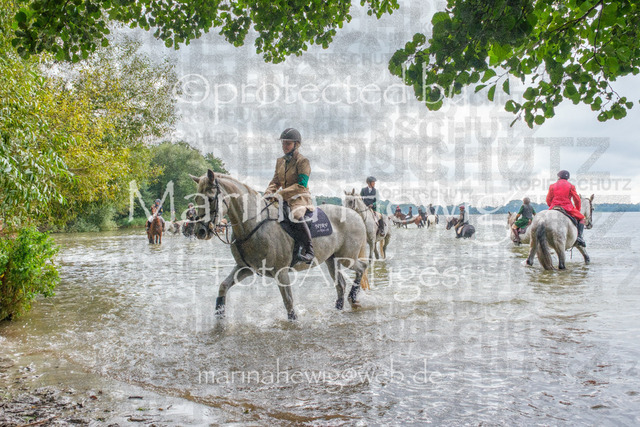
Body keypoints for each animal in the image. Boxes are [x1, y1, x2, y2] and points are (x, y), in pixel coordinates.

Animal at [190, 170, 370, 320]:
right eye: (196, 199)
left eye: (210, 198)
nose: (200, 231)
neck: (254, 224)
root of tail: (355, 214)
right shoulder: (245, 268)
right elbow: (223, 286)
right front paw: (219, 316)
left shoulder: (281, 272)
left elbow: (289, 303)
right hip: (331, 259)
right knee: (340, 285)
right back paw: (339, 308)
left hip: (347, 258)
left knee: (361, 268)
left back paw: (353, 297)